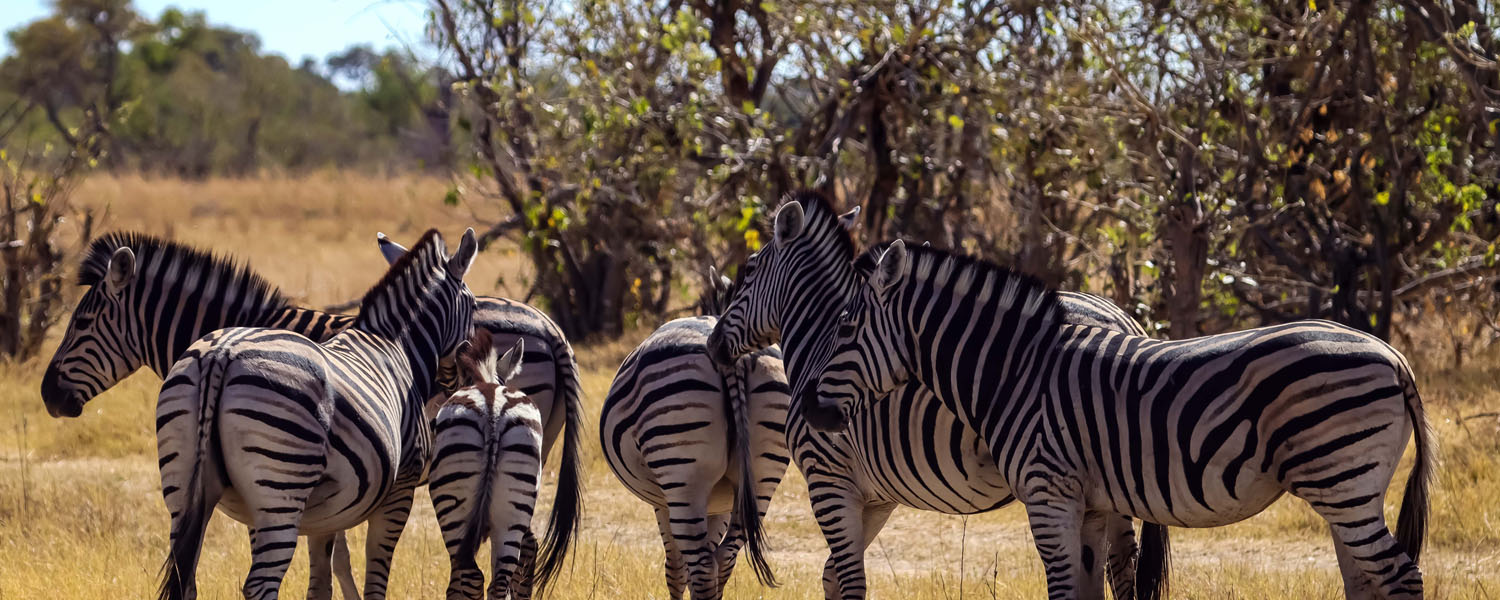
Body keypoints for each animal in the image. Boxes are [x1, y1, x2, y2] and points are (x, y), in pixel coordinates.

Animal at [153, 228, 477, 600]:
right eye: (475, 307)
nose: (459, 385)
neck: (397, 346)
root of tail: (220, 354)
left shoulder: (326, 510)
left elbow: (322, 581)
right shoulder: (400, 491)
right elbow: (375, 578)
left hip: (183, 485)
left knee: (186, 578)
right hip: (281, 486)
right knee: (260, 583)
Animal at [429, 328, 544, 599]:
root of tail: (493, 410)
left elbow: (455, 584)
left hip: (454, 507)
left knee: (471, 576)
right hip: (513, 510)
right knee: (499, 583)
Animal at [599, 272, 787, 599]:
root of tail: (733, 358)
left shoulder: (663, 502)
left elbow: (675, 568)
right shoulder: (720, 504)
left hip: (682, 474)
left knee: (699, 566)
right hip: (764, 474)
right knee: (724, 557)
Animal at [704, 192, 1169, 600]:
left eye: (747, 272)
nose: (712, 345)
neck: (822, 339)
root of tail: (1124, 319)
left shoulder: (827, 479)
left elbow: (849, 580)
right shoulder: (876, 498)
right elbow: (833, 576)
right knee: (1123, 565)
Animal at [804, 240, 1434, 600]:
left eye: (845, 327)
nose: (808, 407)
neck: (1018, 372)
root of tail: (1394, 356)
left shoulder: (1048, 492)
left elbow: (1065, 590)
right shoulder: (1090, 503)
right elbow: (1087, 589)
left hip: (1341, 477)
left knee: (1399, 576)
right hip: (1351, 489)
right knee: (1367, 579)